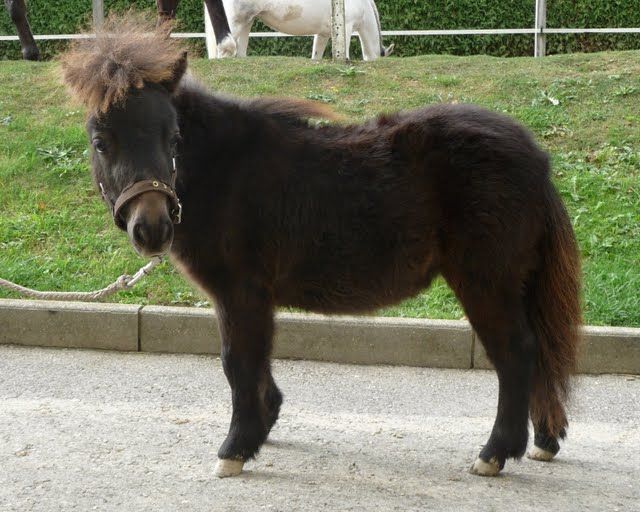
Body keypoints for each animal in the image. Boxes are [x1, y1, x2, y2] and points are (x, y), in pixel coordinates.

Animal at [61, 17, 581, 479]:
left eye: (173, 137)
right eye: (101, 141)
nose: (152, 229)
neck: (226, 172)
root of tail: (536, 157)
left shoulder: (239, 293)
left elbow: (237, 361)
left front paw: (235, 449)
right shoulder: (253, 298)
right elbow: (256, 359)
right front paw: (263, 427)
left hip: (485, 282)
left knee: (516, 354)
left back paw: (494, 454)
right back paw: (543, 441)